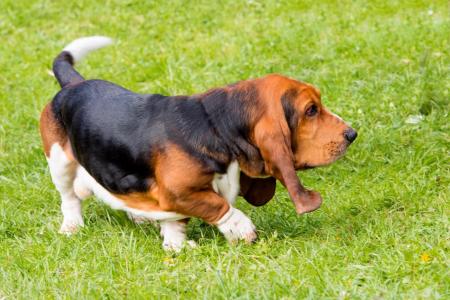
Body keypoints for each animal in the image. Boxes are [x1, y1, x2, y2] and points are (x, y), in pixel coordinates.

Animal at [40, 36, 356, 251]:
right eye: (311, 110)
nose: (352, 134)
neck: (217, 126)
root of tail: (73, 84)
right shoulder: (179, 192)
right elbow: (218, 205)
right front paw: (242, 229)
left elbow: (176, 222)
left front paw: (176, 246)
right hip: (60, 162)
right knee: (70, 198)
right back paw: (71, 227)